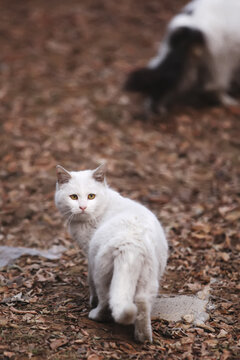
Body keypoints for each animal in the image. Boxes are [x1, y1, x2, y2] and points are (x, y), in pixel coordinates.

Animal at [54, 165, 168, 342]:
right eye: (73, 197)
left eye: (91, 196)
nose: (82, 207)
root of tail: (131, 244)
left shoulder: (90, 256)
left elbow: (90, 281)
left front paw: (91, 300)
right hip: (148, 279)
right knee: (142, 305)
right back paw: (143, 338)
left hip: (102, 272)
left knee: (106, 301)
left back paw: (95, 314)